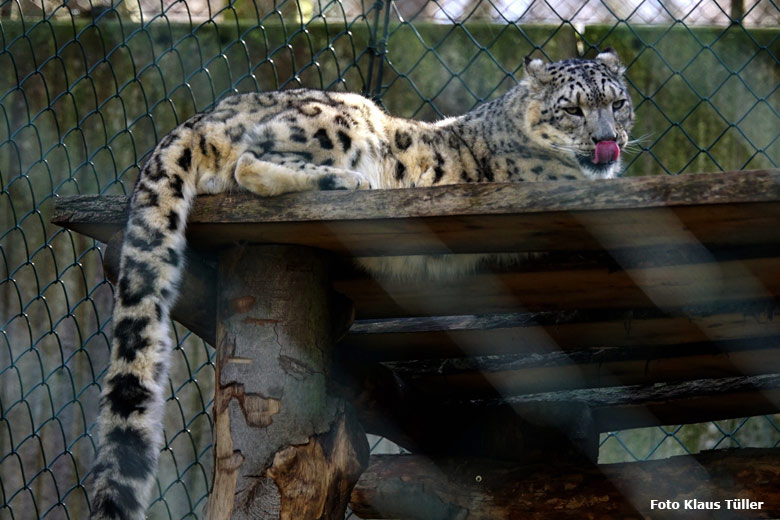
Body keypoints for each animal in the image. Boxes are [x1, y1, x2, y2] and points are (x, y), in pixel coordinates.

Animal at [88, 49, 632, 520]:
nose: (609, 139)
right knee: (249, 162)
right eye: (573, 109)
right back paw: (350, 182)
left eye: (618, 102)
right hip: (341, 119)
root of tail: (205, 114)